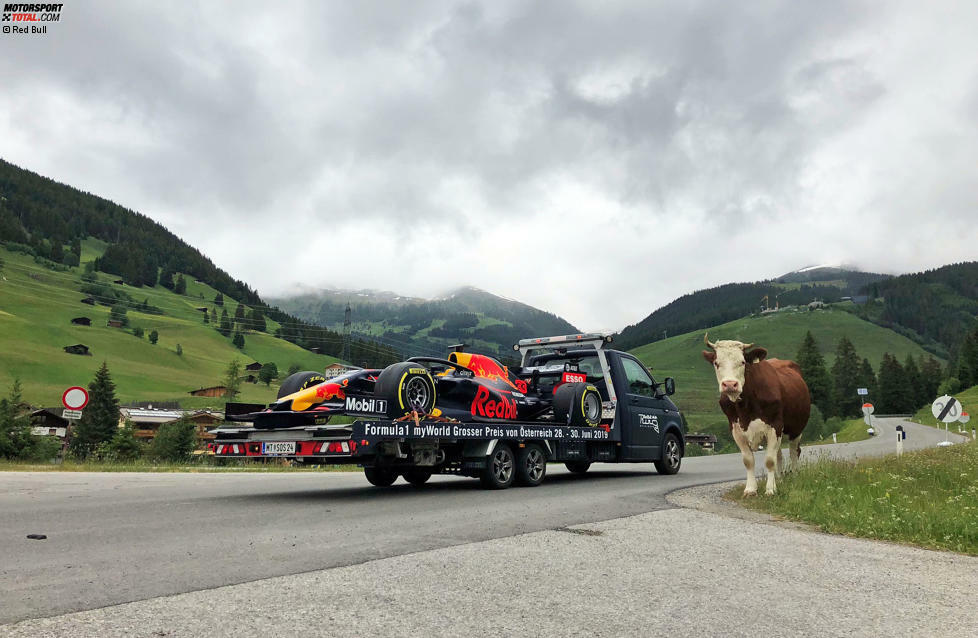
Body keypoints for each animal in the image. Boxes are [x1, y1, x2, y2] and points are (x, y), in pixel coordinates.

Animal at [700, 338, 808, 498]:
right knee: (779, 455)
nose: (730, 384)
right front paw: (751, 489)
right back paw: (780, 479)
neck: (746, 406)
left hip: (796, 427)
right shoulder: (736, 429)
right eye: (716, 363)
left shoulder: (775, 425)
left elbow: (769, 460)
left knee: (794, 451)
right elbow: (748, 460)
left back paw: (794, 476)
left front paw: (770, 489)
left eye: (743, 362)